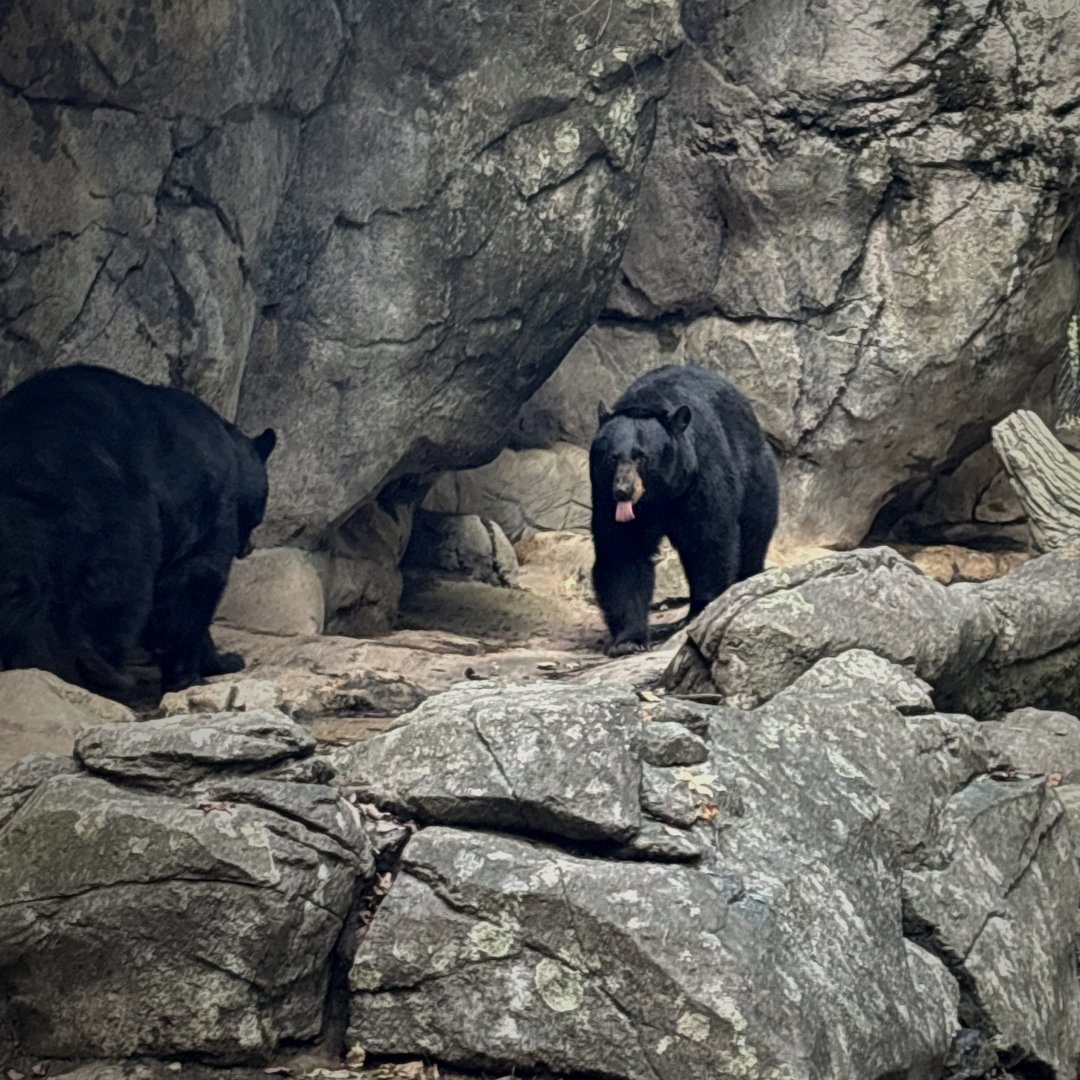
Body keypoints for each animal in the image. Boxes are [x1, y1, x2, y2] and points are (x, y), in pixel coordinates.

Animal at [0, 364, 276, 699]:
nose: (248, 547)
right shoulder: (205, 502)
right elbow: (193, 581)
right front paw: (203, 671)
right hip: (112, 506)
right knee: (117, 588)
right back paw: (98, 674)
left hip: (17, 524)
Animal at [589, 364, 778, 657]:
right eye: (612, 457)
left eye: (641, 457)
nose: (623, 490)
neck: (658, 496)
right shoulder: (603, 493)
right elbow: (622, 551)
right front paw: (628, 640)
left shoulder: (699, 475)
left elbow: (709, 539)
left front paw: (703, 608)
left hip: (757, 474)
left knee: (753, 532)